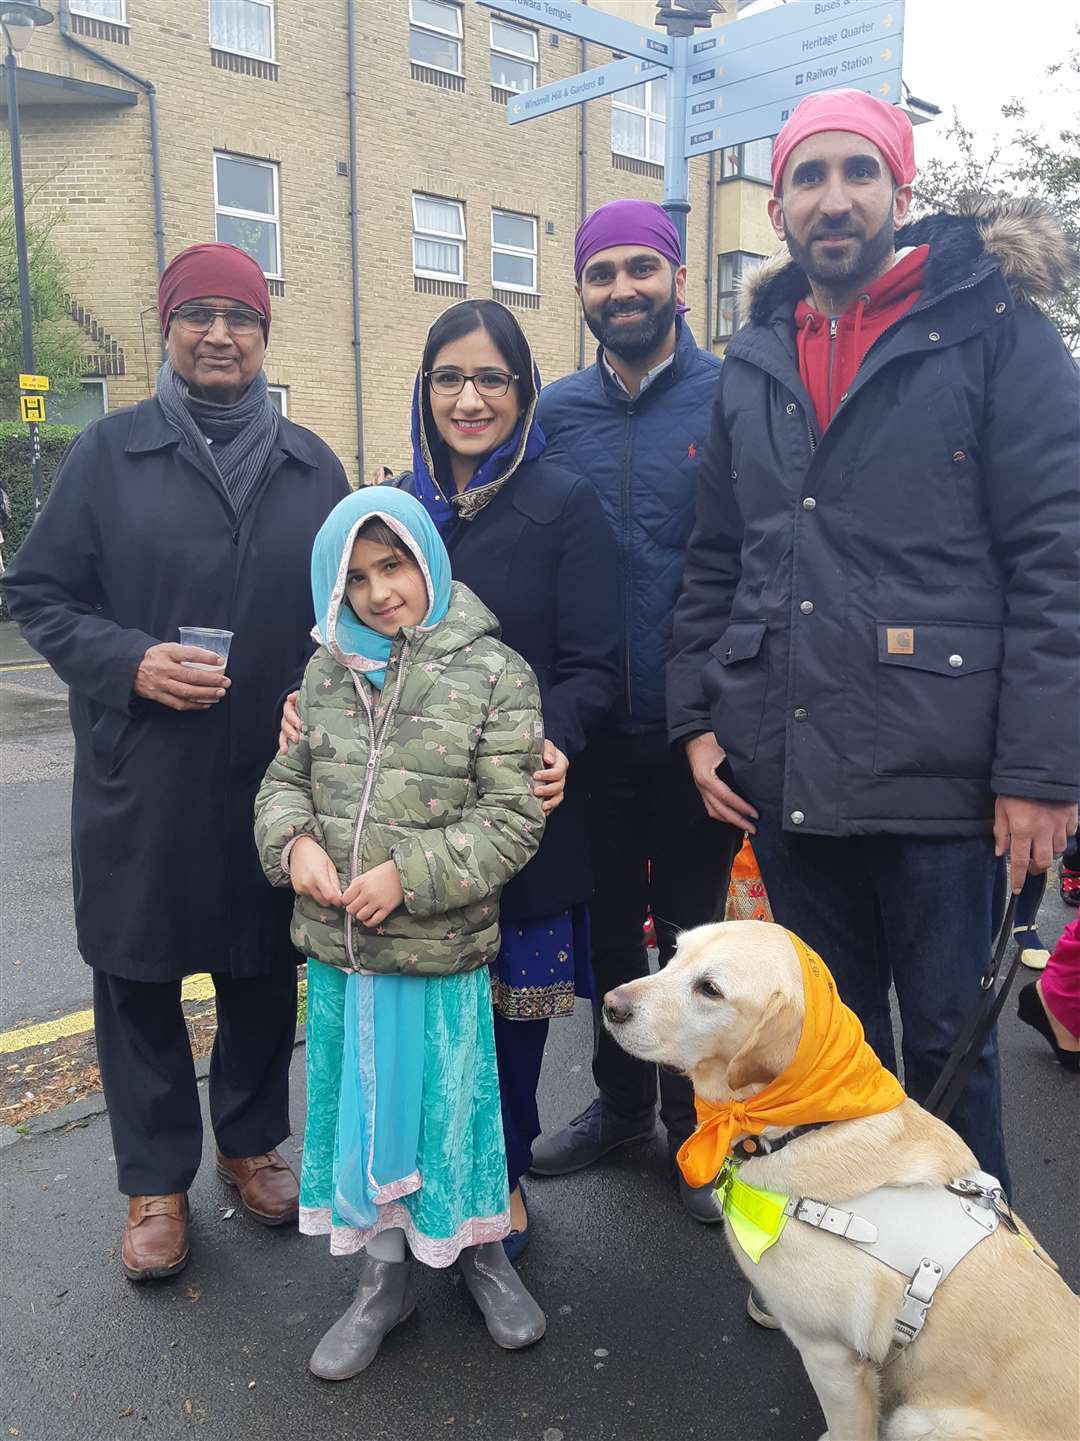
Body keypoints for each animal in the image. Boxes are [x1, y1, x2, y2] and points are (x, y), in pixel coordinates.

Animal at [602, 922, 1072, 1441]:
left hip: (919, 1420)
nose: (609, 1004)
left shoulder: (830, 1356)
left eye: (710, 989)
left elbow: (849, 1427)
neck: (803, 1125)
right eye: (673, 954)